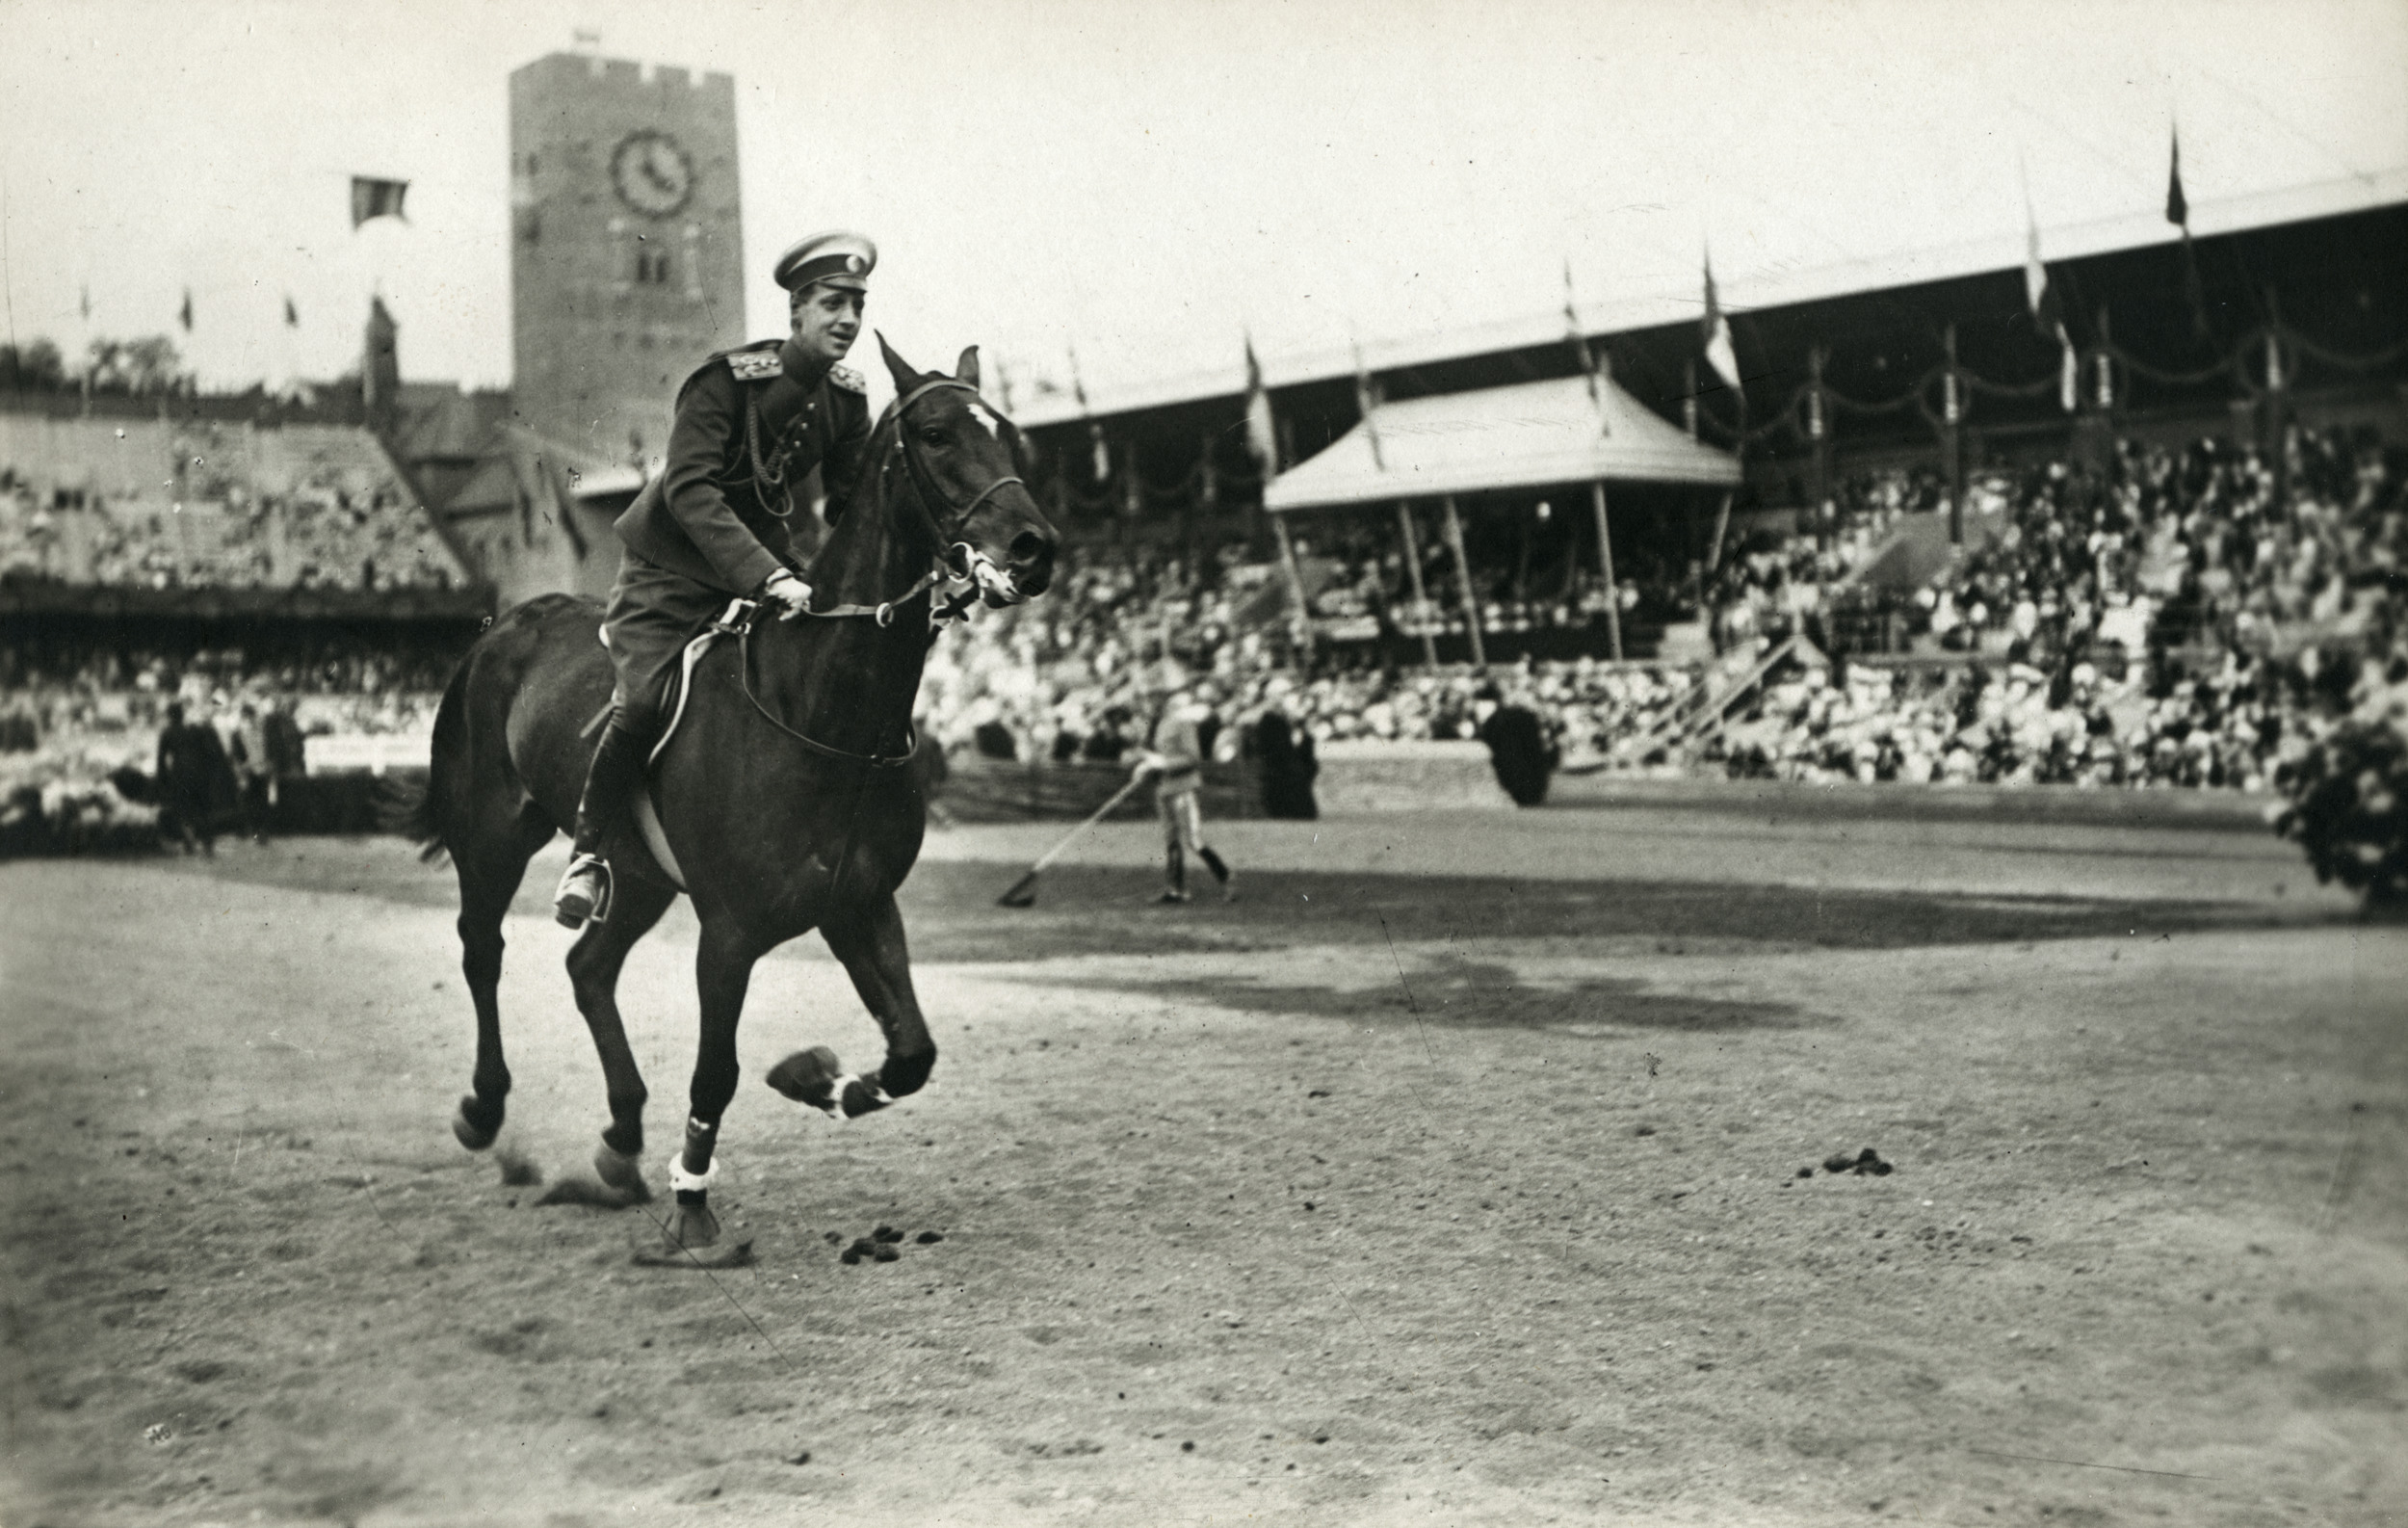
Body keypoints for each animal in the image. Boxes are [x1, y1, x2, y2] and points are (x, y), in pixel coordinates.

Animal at [395, 339, 1055, 1243]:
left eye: (1010, 435)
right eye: (935, 434)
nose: (1034, 548)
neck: (821, 710)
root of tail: (507, 627)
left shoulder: (858, 904)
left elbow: (911, 1053)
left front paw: (819, 1080)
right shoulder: (730, 934)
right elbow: (717, 1072)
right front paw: (693, 1202)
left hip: (638, 876)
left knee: (588, 968)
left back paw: (621, 1137)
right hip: (493, 837)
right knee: (482, 950)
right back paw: (485, 1107)